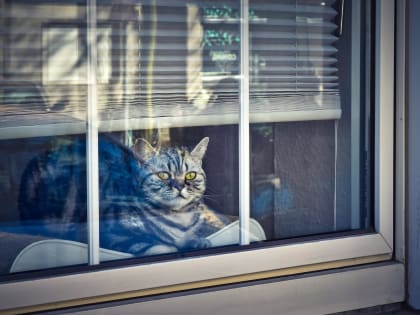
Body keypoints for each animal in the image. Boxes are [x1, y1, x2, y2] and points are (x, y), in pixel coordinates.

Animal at [18, 136, 231, 256]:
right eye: (163, 175)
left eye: (190, 175)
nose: (179, 186)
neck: (179, 219)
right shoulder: (111, 233)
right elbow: (160, 246)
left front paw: (197, 240)